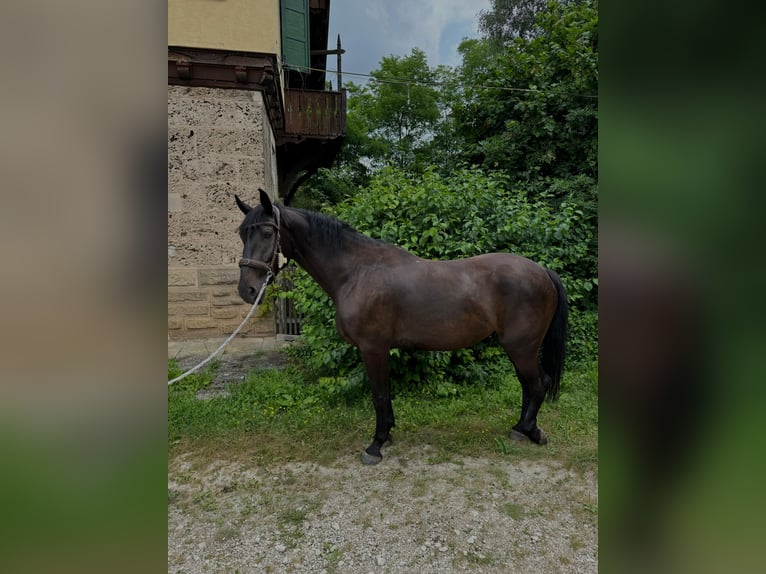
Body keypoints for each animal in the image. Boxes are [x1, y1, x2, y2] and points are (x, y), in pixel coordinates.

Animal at [237, 191, 568, 466]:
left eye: (267, 232)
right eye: (241, 233)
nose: (247, 290)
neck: (357, 272)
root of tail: (542, 271)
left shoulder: (372, 348)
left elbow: (379, 395)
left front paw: (376, 445)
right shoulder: (380, 350)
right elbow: (385, 394)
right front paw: (388, 434)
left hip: (521, 346)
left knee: (538, 384)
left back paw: (530, 432)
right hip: (519, 347)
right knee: (529, 385)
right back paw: (522, 429)